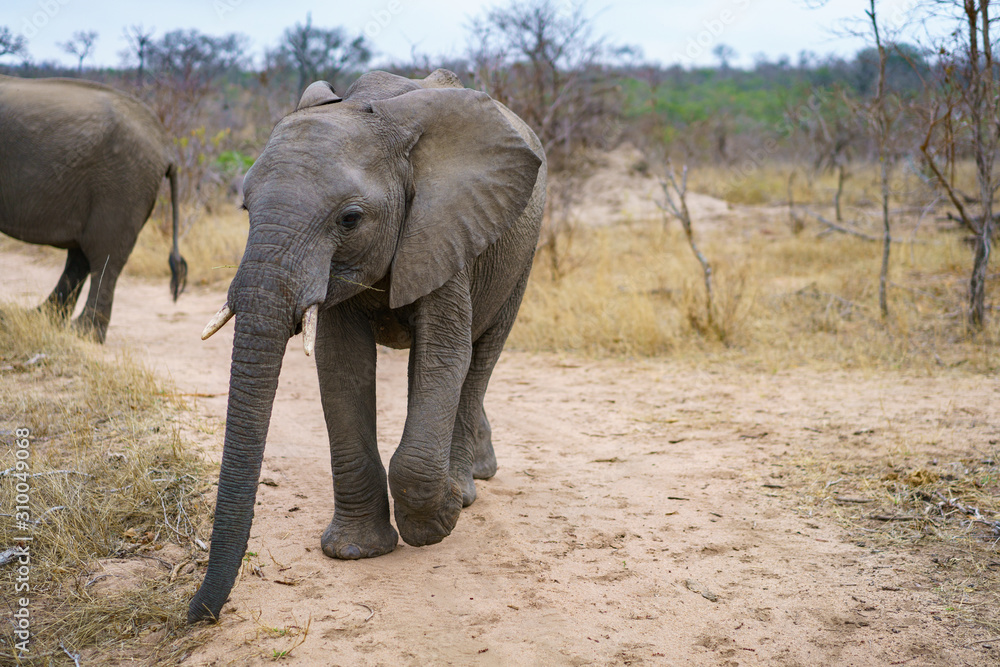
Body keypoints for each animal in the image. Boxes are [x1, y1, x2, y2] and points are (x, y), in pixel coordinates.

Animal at [0, 74, 186, 342]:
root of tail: (167, 146)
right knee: (82, 256)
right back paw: (41, 318)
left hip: (122, 186)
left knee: (104, 255)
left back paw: (82, 333)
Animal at [188, 69, 545, 623]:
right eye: (246, 208)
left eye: (350, 219)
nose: (195, 614)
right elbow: (341, 366)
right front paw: (355, 551)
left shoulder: (444, 226)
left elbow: (444, 355)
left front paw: (439, 517)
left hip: (519, 253)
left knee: (480, 357)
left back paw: (465, 490)